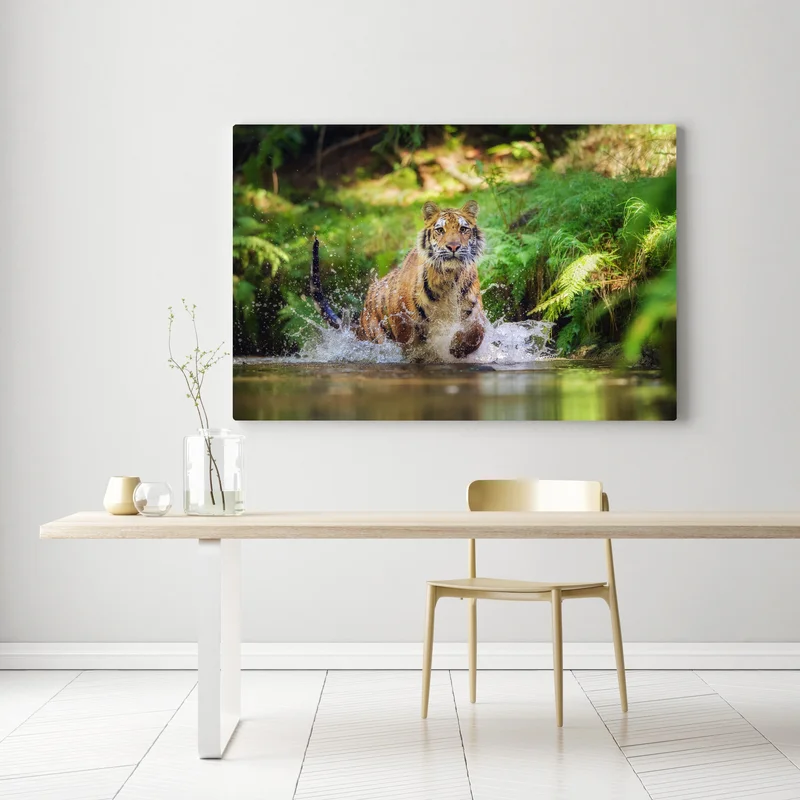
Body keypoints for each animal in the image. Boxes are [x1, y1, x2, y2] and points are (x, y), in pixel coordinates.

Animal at [310, 200, 487, 359]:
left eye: (463, 229)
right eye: (440, 230)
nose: (453, 247)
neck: (447, 278)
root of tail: (363, 311)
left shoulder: (474, 309)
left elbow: (477, 331)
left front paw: (457, 347)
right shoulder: (402, 318)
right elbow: (411, 344)